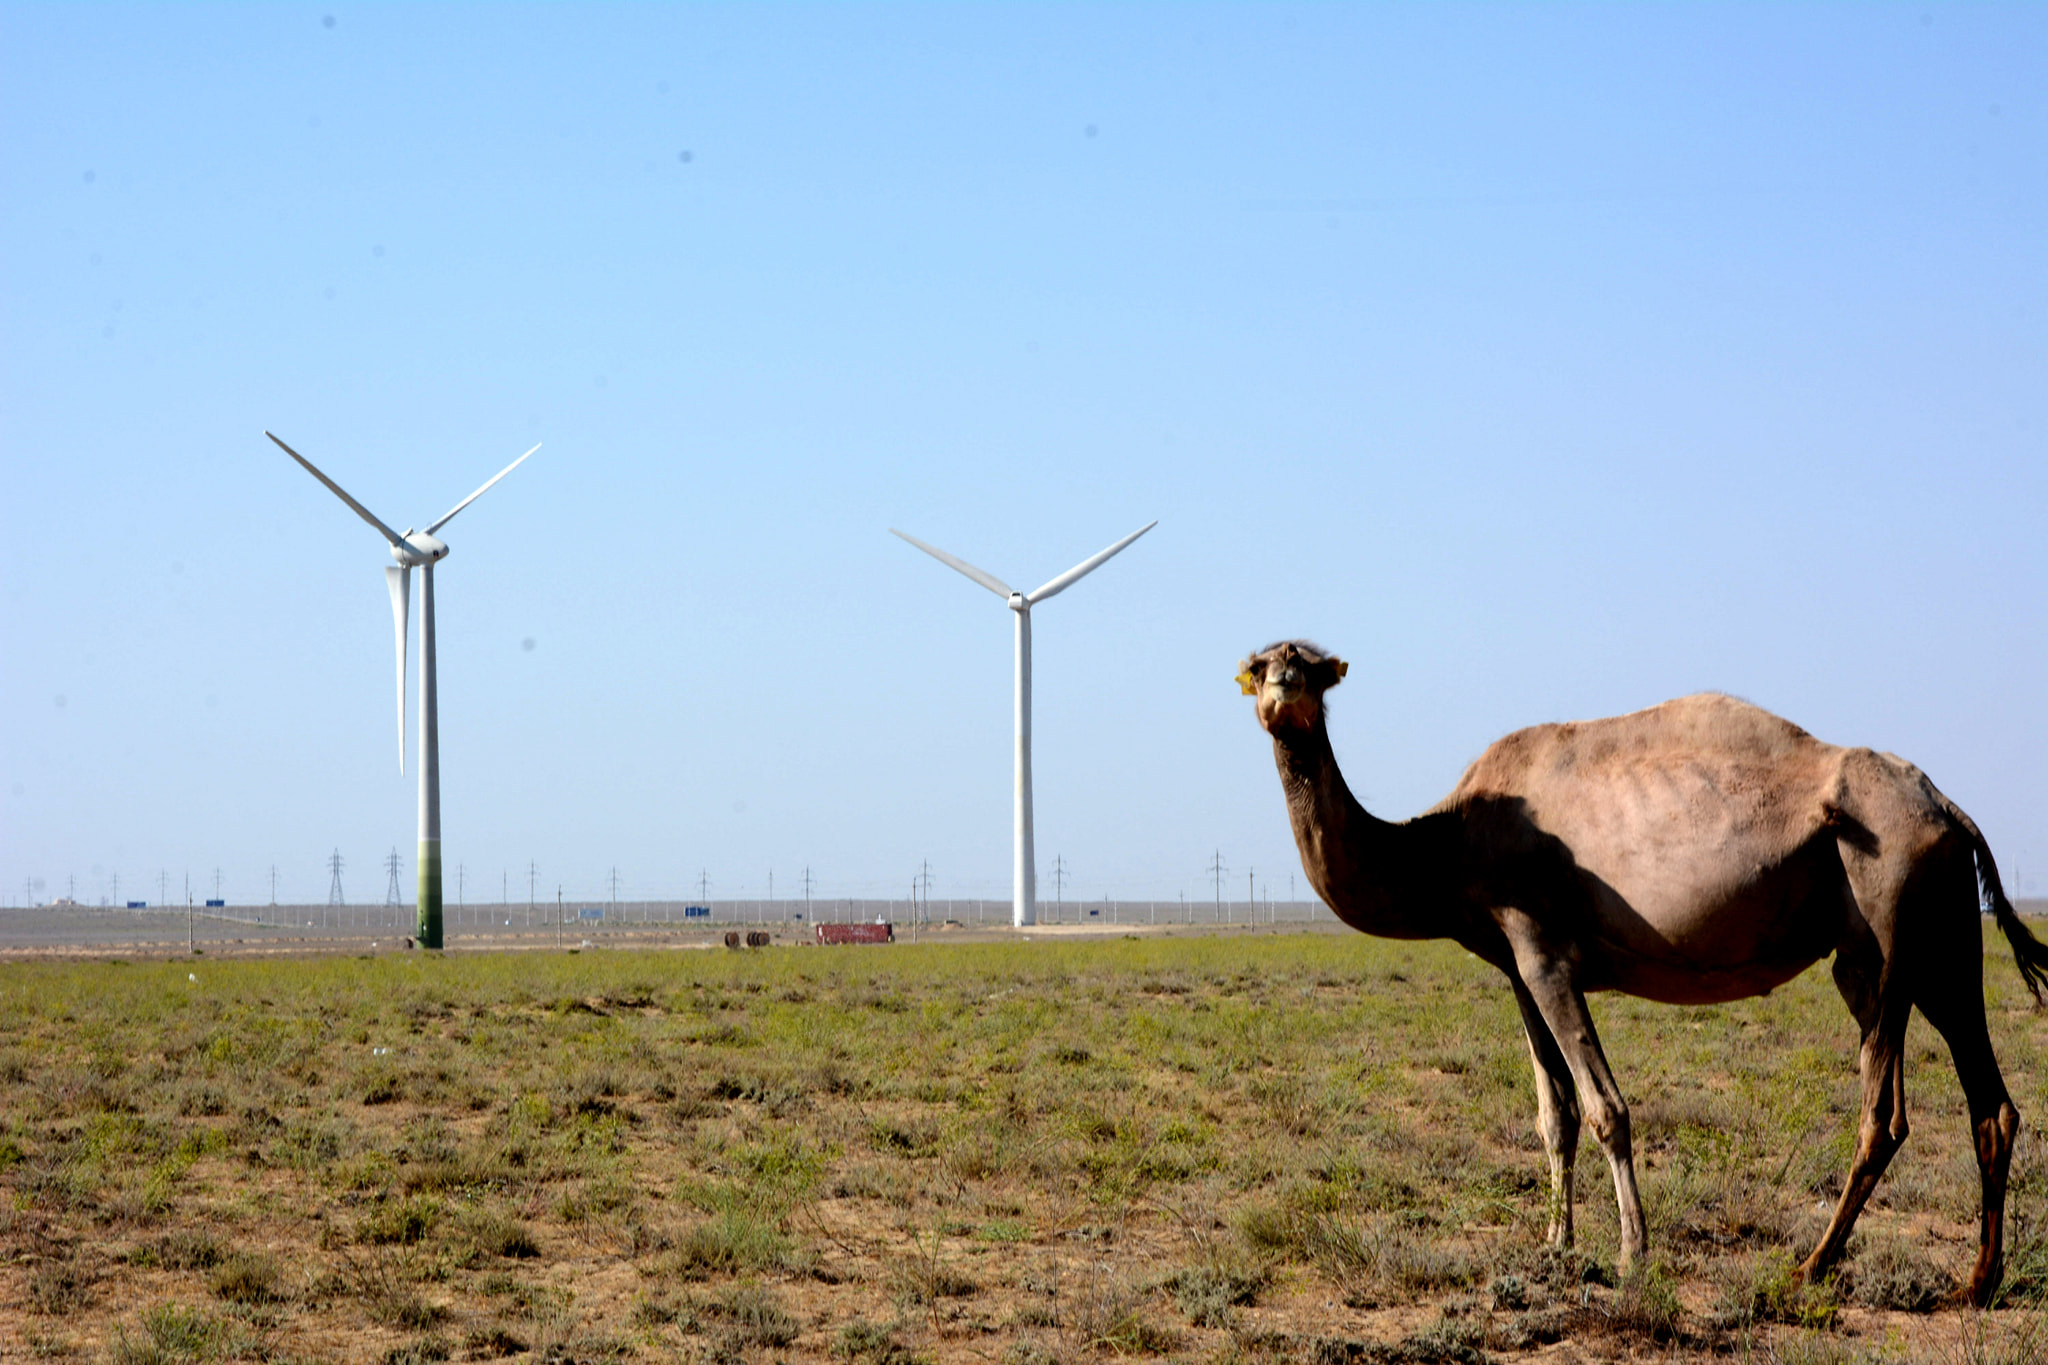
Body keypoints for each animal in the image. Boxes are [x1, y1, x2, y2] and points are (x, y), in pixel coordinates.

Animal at [1236, 646, 2039, 1309]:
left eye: (1311, 665)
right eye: (1259, 662)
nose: (1281, 690)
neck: (1446, 843)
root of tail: (1950, 809)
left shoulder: (1542, 946)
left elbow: (1605, 1109)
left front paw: (1631, 1254)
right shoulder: (1515, 967)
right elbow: (1553, 1115)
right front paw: (1555, 1243)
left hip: (1889, 917)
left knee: (1884, 1113)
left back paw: (1810, 1267)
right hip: (1937, 937)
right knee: (1990, 1103)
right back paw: (1977, 1282)